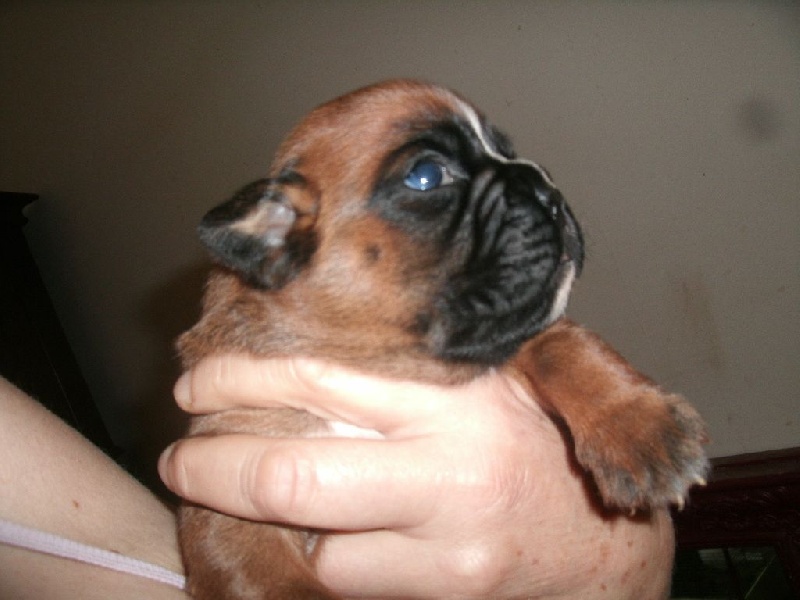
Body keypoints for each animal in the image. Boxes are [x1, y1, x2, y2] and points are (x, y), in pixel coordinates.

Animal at [176, 79, 708, 600]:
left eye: (509, 152)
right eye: (427, 176)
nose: (544, 185)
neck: (373, 361)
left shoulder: (505, 329)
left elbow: (560, 344)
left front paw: (639, 427)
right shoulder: (230, 511)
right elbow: (270, 580)